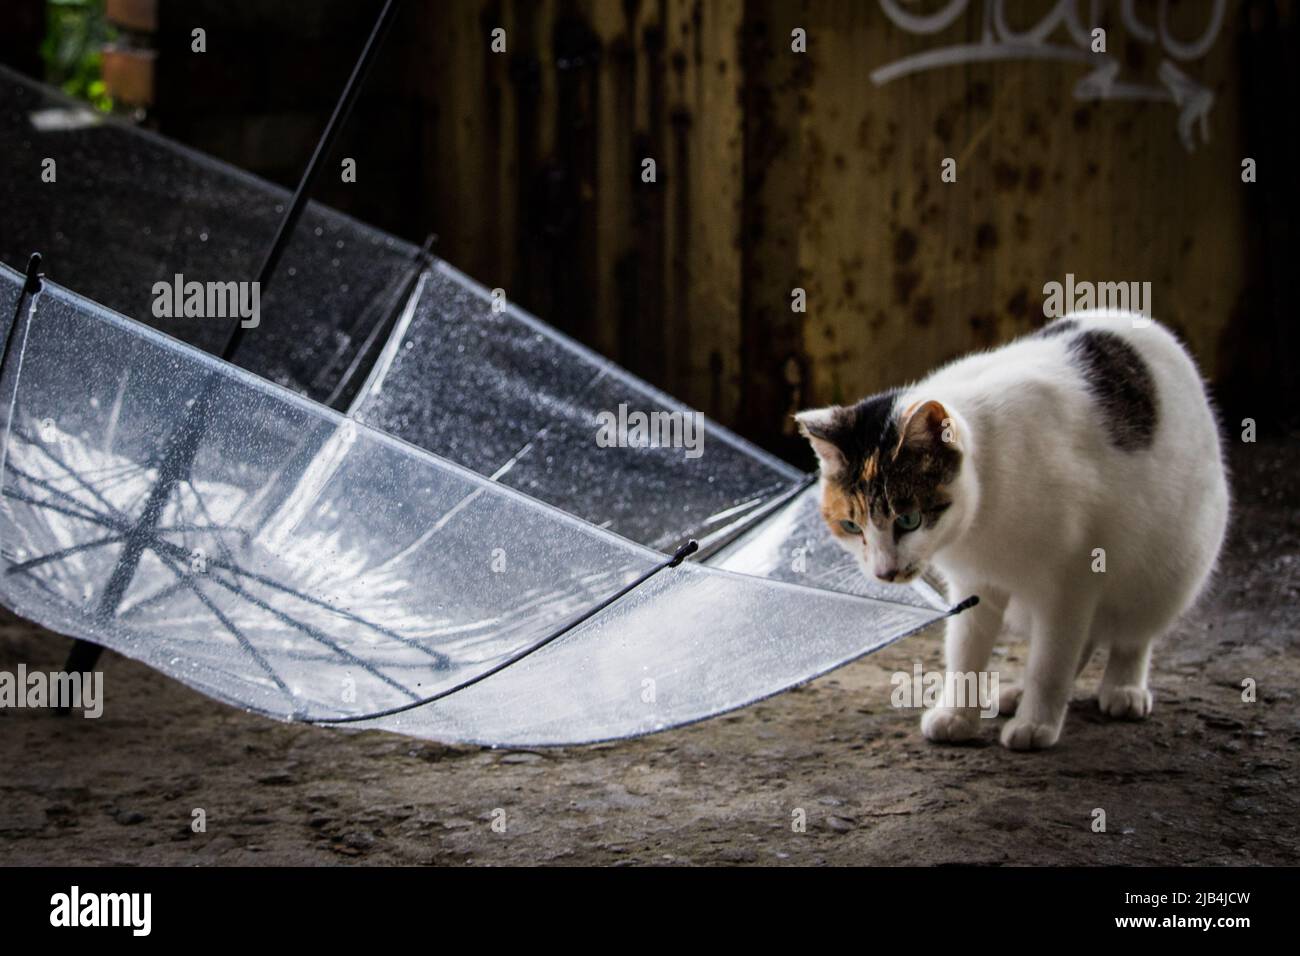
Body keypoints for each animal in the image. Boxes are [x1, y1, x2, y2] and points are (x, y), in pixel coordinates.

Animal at [790, 310, 1227, 749]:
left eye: (909, 519)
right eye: (851, 525)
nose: (884, 572)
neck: (980, 523)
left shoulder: (1072, 580)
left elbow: (1050, 662)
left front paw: (1037, 724)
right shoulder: (974, 583)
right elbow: (967, 650)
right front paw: (958, 716)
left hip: (1166, 570)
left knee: (1131, 634)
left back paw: (1123, 688)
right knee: (1087, 638)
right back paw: (1018, 693)